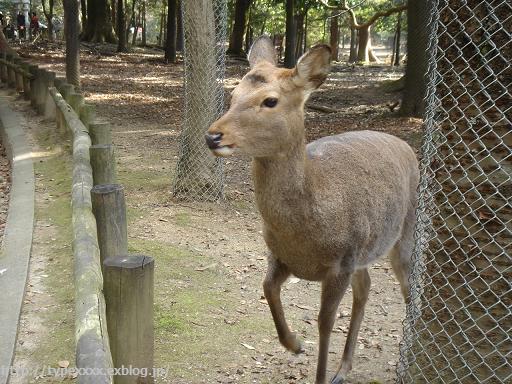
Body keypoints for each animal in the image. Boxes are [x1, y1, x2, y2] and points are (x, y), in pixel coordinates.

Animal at [205, 36, 420, 384]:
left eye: (270, 101)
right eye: (234, 95)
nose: (212, 136)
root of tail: (406, 146)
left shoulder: (341, 262)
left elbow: (325, 323)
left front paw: (313, 363)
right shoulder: (281, 256)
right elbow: (267, 288)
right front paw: (294, 344)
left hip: (405, 231)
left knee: (408, 287)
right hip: (364, 252)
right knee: (366, 288)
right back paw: (343, 368)